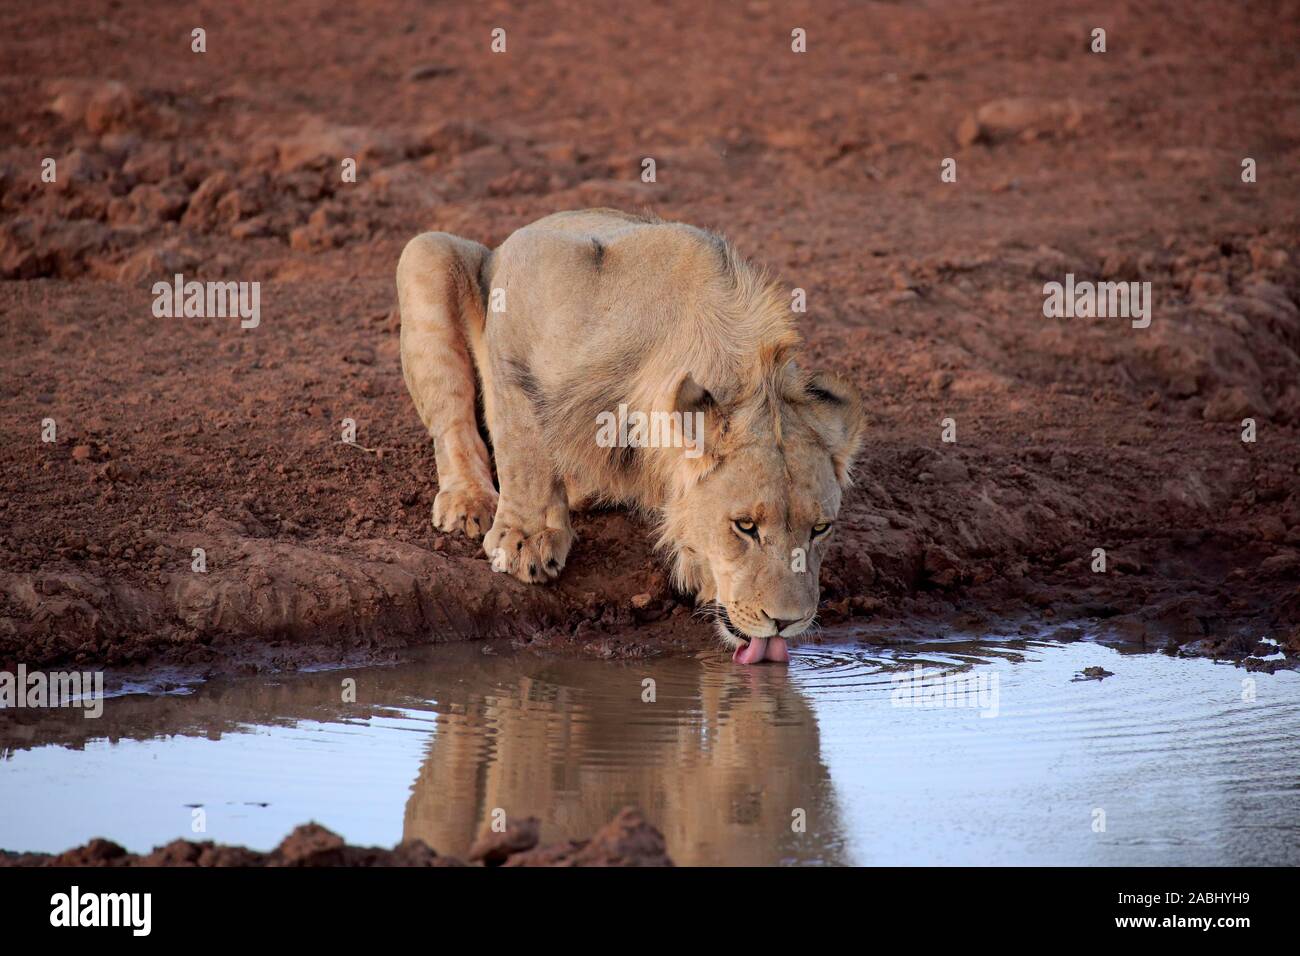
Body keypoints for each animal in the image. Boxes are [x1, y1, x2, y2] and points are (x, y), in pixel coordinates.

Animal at [395, 208, 863, 665]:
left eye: (821, 529)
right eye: (745, 526)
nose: (787, 622)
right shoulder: (522, 297)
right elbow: (521, 442)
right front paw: (525, 539)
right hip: (426, 253)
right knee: (453, 418)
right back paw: (469, 501)